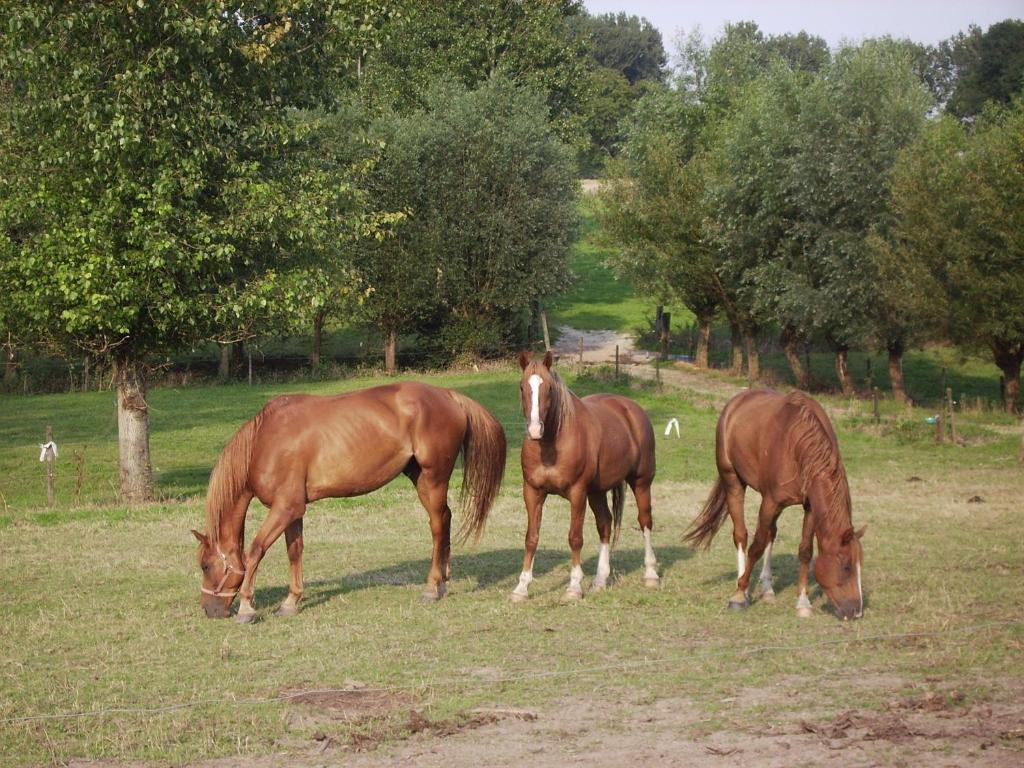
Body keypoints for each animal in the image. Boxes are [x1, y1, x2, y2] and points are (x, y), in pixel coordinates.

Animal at [190, 382, 505, 622]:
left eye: (205, 566)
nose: (208, 610)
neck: (265, 441)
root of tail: (450, 396)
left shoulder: (284, 508)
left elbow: (256, 550)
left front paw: (246, 607)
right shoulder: (293, 511)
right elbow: (295, 552)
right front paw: (291, 602)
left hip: (434, 477)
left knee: (438, 525)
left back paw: (431, 586)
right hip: (421, 479)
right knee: (445, 519)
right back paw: (443, 580)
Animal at [509, 352, 659, 606]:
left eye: (549, 388)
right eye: (521, 387)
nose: (535, 430)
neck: (551, 446)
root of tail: (631, 409)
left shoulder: (577, 493)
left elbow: (575, 538)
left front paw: (574, 588)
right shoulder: (532, 492)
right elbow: (531, 538)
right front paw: (521, 588)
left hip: (641, 482)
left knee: (645, 521)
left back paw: (650, 574)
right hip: (597, 492)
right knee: (605, 524)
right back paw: (600, 581)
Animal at [688, 391, 864, 618]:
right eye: (846, 567)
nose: (857, 611)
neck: (799, 445)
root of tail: (737, 401)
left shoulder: (810, 506)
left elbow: (805, 550)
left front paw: (803, 601)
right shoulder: (770, 502)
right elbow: (756, 546)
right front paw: (740, 593)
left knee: (771, 533)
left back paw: (767, 590)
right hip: (733, 481)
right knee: (741, 535)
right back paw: (742, 586)